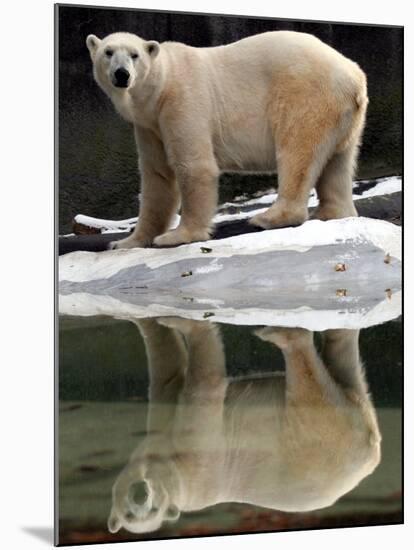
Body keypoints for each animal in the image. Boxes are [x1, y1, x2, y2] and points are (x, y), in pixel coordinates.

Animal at [85, 30, 368, 250]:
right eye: (108, 52)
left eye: (134, 55)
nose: (122, 74)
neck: (161, 86)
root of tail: (354, 76)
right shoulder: (149, 125)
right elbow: (157, 177)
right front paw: (125, 242)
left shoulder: (182, 102)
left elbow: (194, 166)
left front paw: (179, 235)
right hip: (343, 116)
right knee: (338, 162)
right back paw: (332, 213)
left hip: (306, 95)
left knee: (297, 151)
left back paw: (268, 218)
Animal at [107, 322, 382, 536]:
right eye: (129, 515)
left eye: (154, 510)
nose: (141, 495)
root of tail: (370, 450)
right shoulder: (190, 463)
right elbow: (187, 382)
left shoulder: (186, 458)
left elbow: (183, 377)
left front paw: (159, 319)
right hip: (323, 430)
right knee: (336, 370)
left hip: (317, 438)